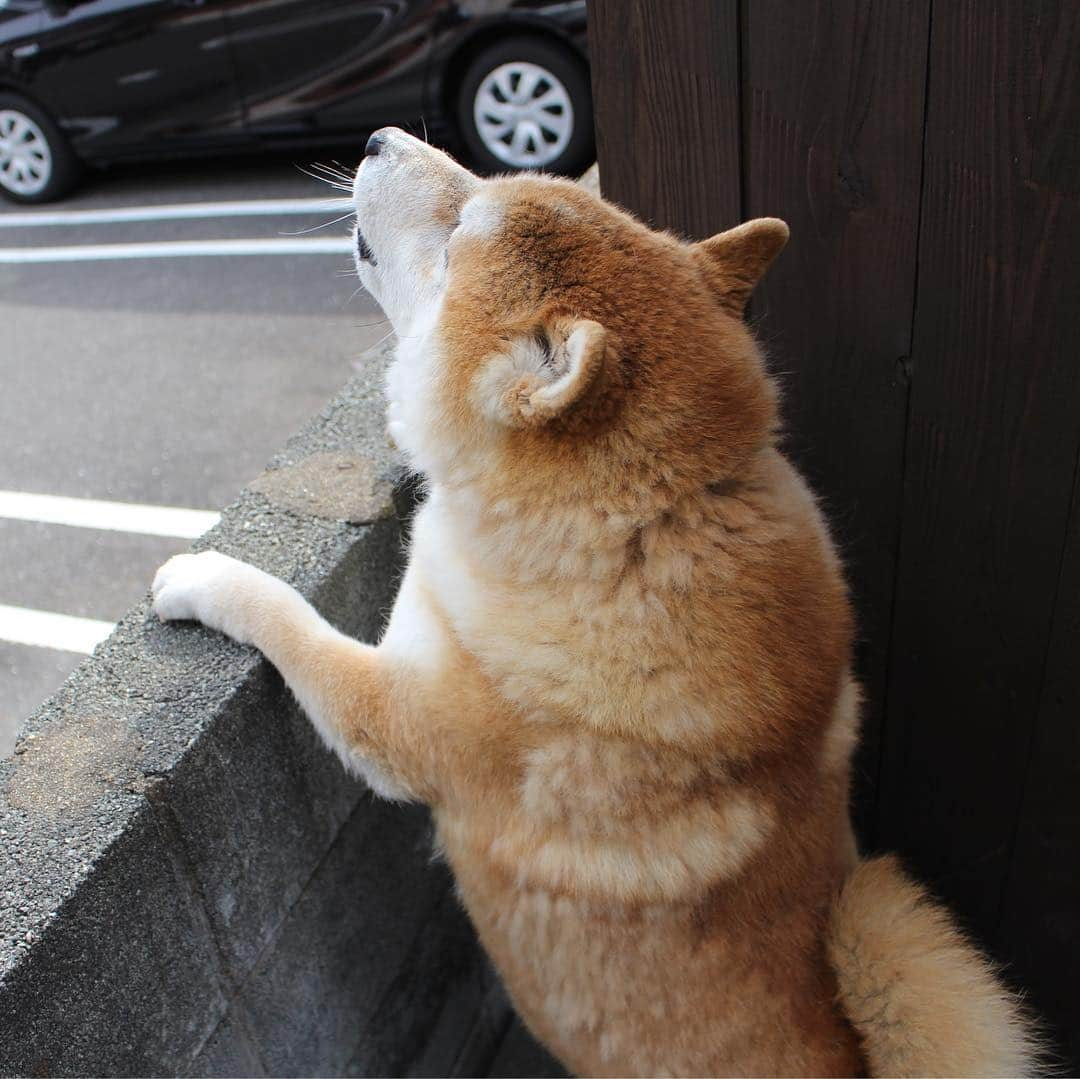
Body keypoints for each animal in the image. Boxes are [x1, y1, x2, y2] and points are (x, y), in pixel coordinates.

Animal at [152, 130, 1036, 1075]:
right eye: (483, 179)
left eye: (460, 229)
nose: (379, 140)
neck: (653, 523)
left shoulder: (398, 719)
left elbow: (286, 615)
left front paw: (202, 578)